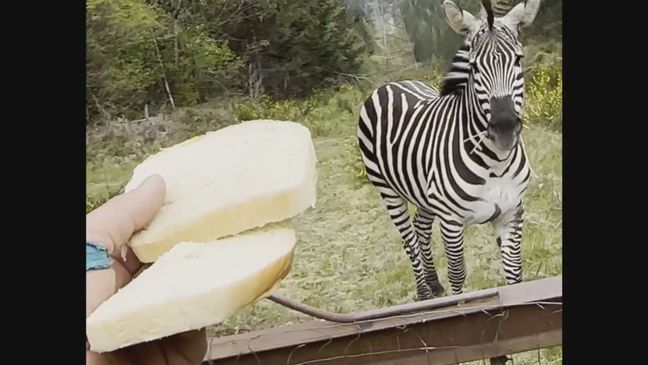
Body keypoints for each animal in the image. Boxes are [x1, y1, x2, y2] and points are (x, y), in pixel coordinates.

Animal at [356, 0, 540, 300]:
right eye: (474, 67)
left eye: (518, 60)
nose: (504, 127)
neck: (496, 163)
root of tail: (390, 84)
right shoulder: (451, 222)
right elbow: (458, 275)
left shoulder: (512, 212)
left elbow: (515, 274)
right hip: (387, 190)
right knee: (408, 240)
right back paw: (424, 293)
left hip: (422, 192)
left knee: (420, 227)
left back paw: (433, 283)